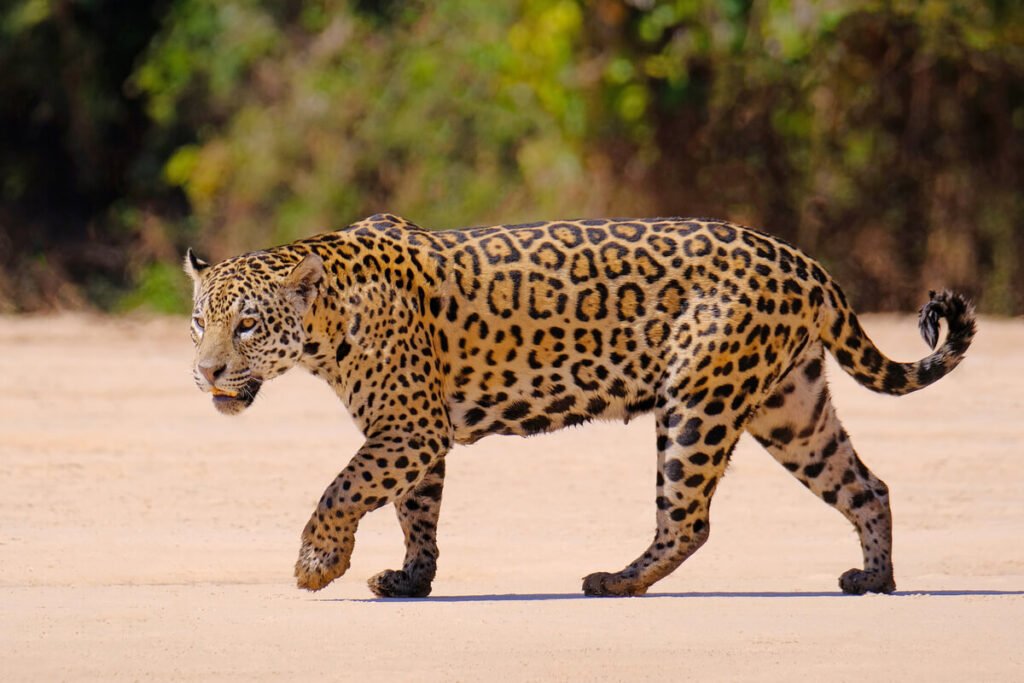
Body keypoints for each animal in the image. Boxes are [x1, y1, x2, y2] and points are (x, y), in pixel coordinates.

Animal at [185, 213, 975, 598]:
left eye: (247, 326)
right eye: (200, 322)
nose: (206, 370)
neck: (326, 322)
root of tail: (803, 261)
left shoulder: (408, 426)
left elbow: (343, 487)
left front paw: (318, 562)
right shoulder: (414, 432)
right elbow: (416, 510)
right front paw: (412, 580)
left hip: (698, 401)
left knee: (688, 520)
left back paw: (617, 582)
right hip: (791, 407)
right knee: (867, 485)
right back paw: (874, 579)